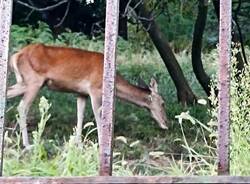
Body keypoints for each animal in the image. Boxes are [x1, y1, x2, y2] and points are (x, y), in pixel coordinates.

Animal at [6, 42, 168, 147]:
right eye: (162, 103)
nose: (166, 123)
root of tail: (16, 55)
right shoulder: (95, 89)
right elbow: (98, 117)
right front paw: (102, 144)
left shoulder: (81, 93)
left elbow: (80, 115)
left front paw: (78, 144)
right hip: (34, 81)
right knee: (22, 107)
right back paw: (27, 144)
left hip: (24, 83)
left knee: (7, 93)